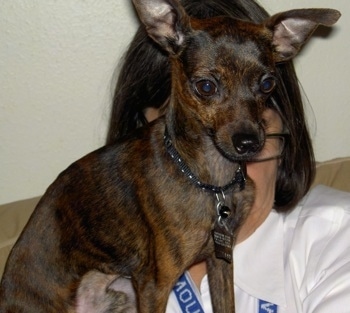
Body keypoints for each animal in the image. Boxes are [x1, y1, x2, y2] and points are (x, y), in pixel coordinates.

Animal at [0, 0, 340, 312]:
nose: (249, 143)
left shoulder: (220, 261)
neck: (211, 181)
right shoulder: (154, 284)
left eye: (268, 84)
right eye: (206, 86)